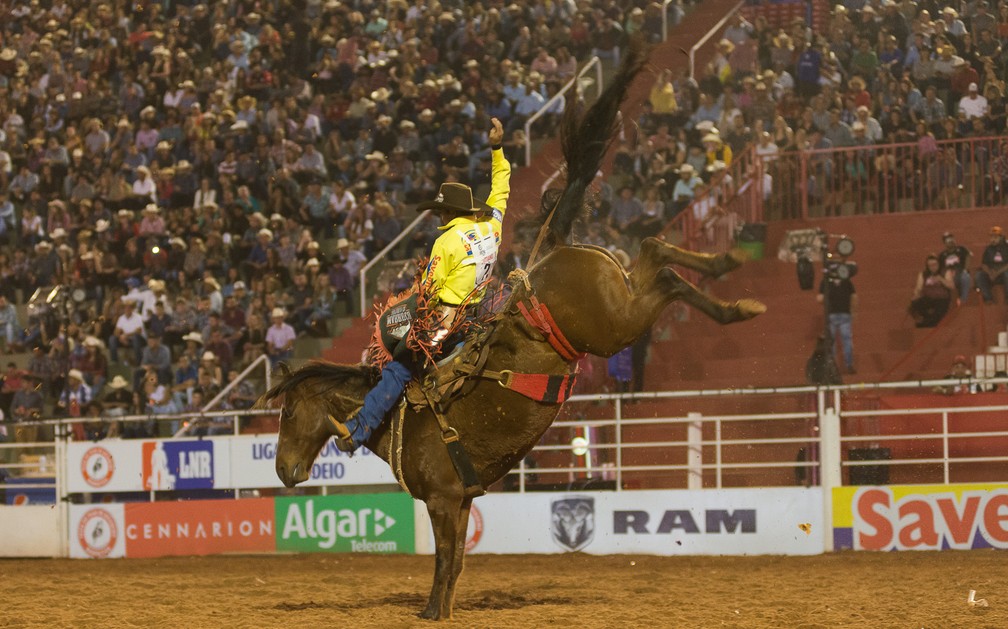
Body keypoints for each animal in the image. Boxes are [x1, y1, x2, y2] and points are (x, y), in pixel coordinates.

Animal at [258, 41, 762, 620]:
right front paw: (440, 609)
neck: (397, 413)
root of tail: (549, 254)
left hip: (614, 326)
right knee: (657, 253)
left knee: (661, 267)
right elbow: (454, 562)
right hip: (620, 300)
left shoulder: (443, 500)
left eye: (287, 413)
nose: (283, 471)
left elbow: (444, 560)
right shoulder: (461, 500)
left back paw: (731, 285)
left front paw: (433, 612)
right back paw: (732, 281)